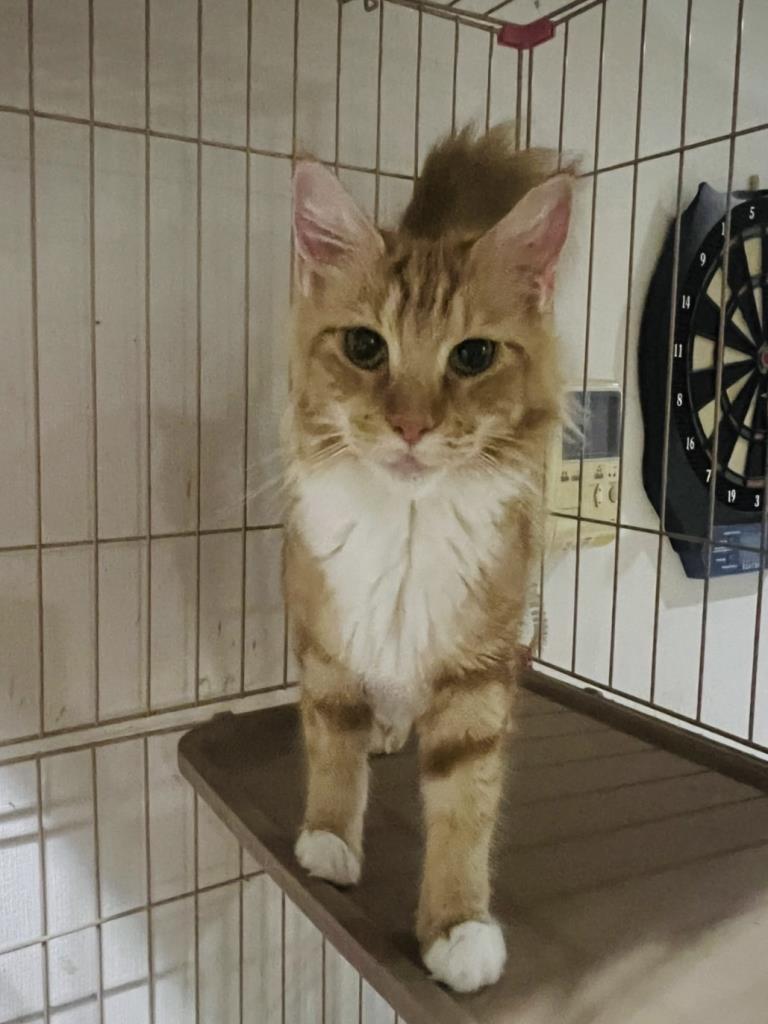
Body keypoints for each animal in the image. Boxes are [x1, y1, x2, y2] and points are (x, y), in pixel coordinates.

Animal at [283, 125, 572, 994]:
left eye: (472, 356)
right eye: (364, 346)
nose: (411, 426)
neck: (406, 524)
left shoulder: (480, 666)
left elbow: (464, 808)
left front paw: (457, 927)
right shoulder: (326, 635)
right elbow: (332, 745)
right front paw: (328, 840)